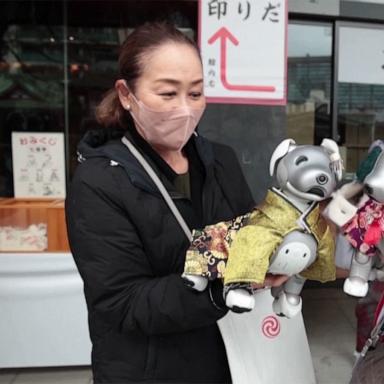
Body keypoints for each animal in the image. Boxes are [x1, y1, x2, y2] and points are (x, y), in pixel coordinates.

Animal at [183, 138, 342, 318]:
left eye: (331, 167)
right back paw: (194, 280)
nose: (322, 177)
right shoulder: (254, 237)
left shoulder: (323, 244)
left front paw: (290, 303)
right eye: (301, 160)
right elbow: (245, 261)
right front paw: (240, 295)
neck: (298, 217)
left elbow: (297, 280)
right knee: (205, 253)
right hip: (213, 237)